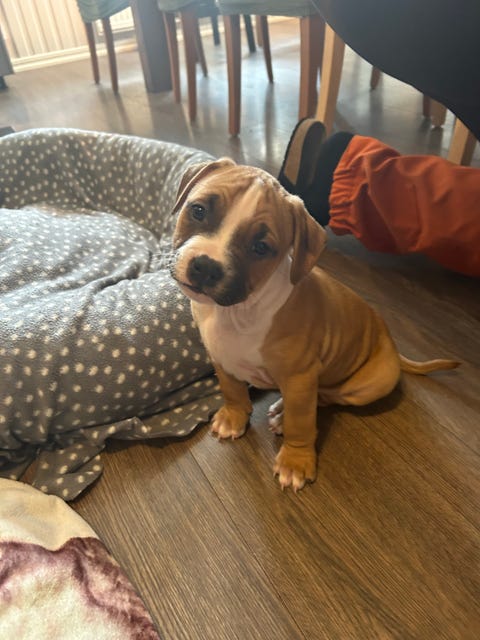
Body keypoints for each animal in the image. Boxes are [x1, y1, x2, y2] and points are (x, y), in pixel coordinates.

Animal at [171, 158, 459, 492]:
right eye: (198, 211)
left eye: (260, 247)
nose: (205, 267)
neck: (238, 313)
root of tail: (391, 344)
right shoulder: (220, 357)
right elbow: (231, 389)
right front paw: (233, 416)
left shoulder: (300, 377)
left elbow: (301, 422)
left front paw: (295, 461)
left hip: (369, 385)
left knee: (326, 397)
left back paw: (282, 415)